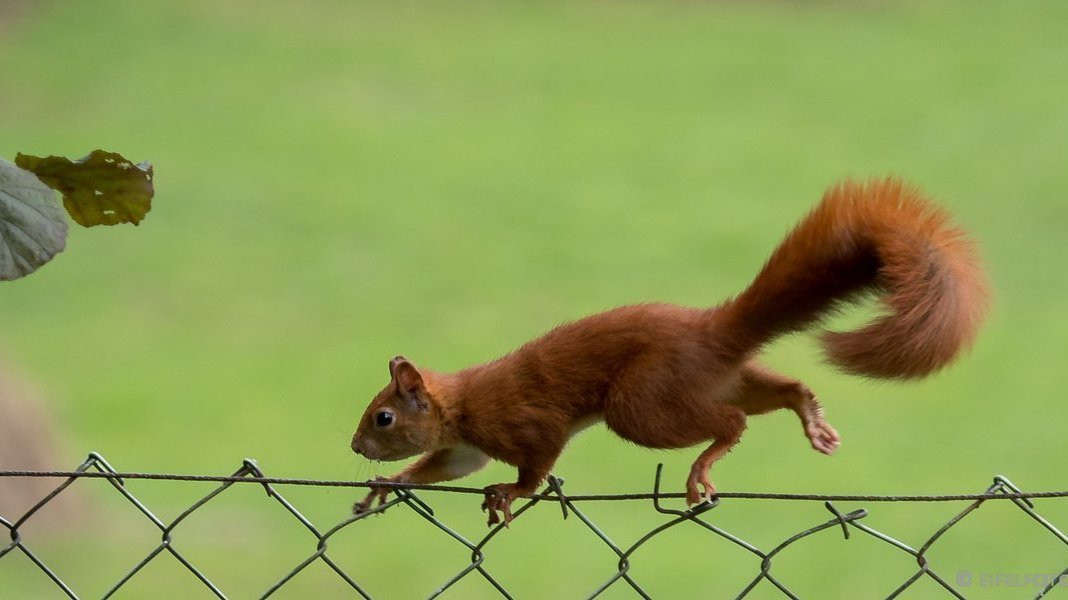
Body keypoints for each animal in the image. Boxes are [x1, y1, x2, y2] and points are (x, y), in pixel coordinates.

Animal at [352, 178, 991, 523]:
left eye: (383, 417)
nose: (356, 447)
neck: (460, 404)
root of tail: (710, 331)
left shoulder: (524, 424)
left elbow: (534, 465)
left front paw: (509, 493)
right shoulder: (463, 448)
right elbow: (443, 468)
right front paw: (387, 483)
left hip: (642, 403)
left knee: (730, 422)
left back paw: (705, 464)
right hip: (724, 377)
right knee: (780, 389)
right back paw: (810, 415)